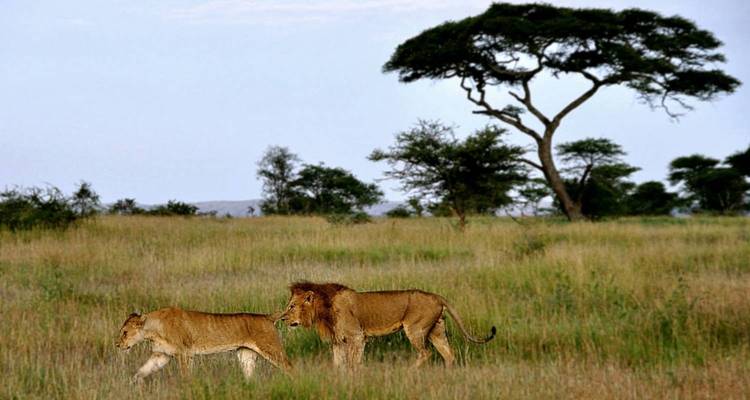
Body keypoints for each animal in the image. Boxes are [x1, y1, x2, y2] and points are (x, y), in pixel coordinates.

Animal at [115, 307, 292, 382]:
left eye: (125, 332)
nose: (117, 345)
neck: (153, 330)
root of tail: (268, 316)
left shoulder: (184, 354)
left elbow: (185, 376)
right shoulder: (161, 355)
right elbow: (142, 371)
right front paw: (134, 385)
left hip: (271, 349)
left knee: (290, 368)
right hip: (245, 355)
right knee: (250, 375)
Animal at [278, 282, 496, 369]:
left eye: (291, 306)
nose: (282, 319)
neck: (324, 308)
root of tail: (436, 296)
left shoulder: (357, 336)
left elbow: (354, 362)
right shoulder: (338, 341)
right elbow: (338, 363)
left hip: (415, 329)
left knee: (426, 353)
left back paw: (409, 372)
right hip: (437, 331)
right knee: (449, 355)